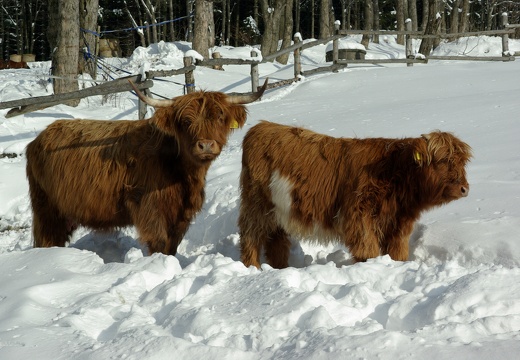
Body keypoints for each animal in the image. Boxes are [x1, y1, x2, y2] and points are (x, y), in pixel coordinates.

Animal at [25, 80, 266, 255]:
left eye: (220, 117)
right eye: (186, 122)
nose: (205, 145)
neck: (182, 174)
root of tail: (38, 138)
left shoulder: (181, 214)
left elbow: (172, 245)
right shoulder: (149, 207)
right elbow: (159, 242)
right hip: (46, 206)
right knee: (47, 237)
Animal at [239, 122, 472, 268]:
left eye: (462, 162)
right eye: (443, 161)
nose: (465, 189)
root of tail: (261, 126)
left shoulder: (397, 225)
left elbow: (397, 252)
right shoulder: (359, 218)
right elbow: (367, 250)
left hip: (278, 211)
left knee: (275, 240)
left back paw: (279, 267)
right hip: (256, 205)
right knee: (250, 235)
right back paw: (253, 267)